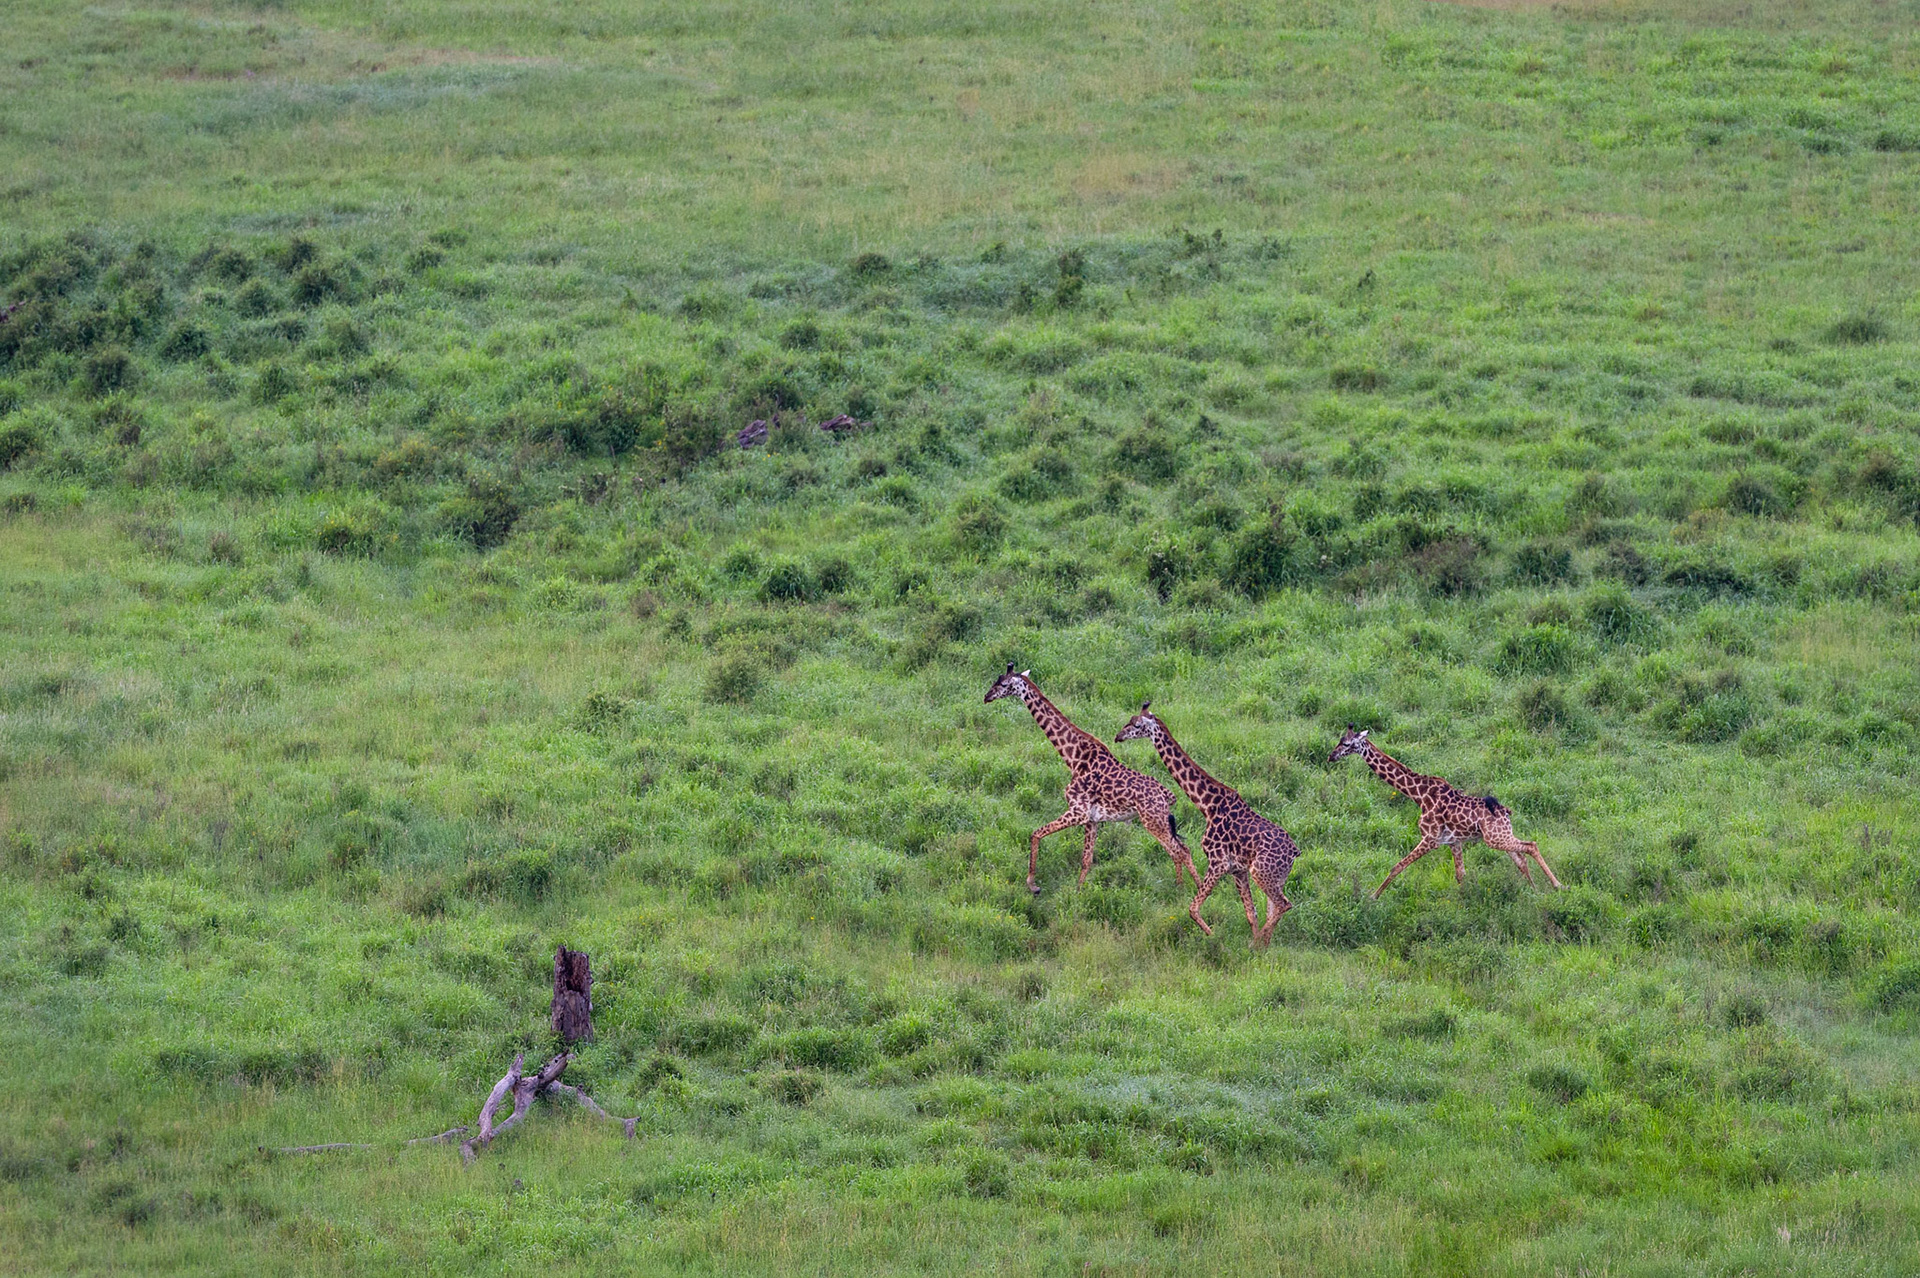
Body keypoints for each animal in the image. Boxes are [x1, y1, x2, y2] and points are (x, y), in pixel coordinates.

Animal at [985, 665, 1201, 896]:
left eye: (1003, 683)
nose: (986, 697)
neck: (1074, 756)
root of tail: (1167, 795)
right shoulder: (1092, 818)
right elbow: (1086, 860)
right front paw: (1078, 892)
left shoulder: (1077, 811)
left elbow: (1036, 833)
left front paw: (1033, 884)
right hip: (1158, 821)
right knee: (1179, 850)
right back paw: (1180, 888)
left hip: (1153, 821)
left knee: (1182, 851)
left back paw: (1193, 891)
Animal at [1116, 703, 1297, 948]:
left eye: (1136, 725)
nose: (1118, 736)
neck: (1207, 804)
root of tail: (1295, 852)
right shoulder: (1237, 869)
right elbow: (1251, 913)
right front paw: (1253, 944)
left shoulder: (1218, 862)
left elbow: (1193, 908)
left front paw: (1216, 939)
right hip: (1275, 876)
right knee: (1274, 908)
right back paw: (1263, 944)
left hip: (1261, 873)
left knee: (1284, 904)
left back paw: (1257, 944)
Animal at [1328, 725, 1562, 898]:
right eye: (1339, 740)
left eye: (1346, 743)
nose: (1331, 756)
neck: (1418, 794)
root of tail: (1505, 812)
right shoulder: (1453, 841)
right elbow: (1460, 874)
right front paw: (1463, 901)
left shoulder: (1430, 839)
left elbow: (1397, 866)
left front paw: (1373, 897)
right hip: (1500, 836)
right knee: (1521, 859)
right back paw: (1535, 891)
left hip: (1495, 839)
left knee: (1531, 846)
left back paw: (1558, 886)